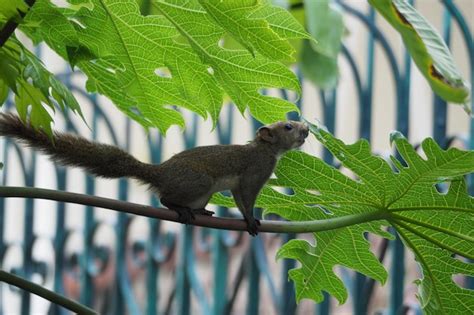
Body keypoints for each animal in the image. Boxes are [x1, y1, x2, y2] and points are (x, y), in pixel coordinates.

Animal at [0, 112, 310, 236]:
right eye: (287, 127)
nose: (306, 130)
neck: (266, 150)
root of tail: (159, 172)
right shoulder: (253, 174)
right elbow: (245, 199)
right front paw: (250, 220)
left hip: (202, 193)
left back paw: (200, 212)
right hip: (199, 182)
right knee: (163, 198)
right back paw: (179, 208)